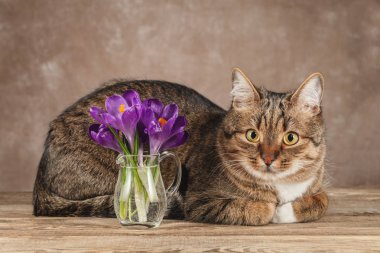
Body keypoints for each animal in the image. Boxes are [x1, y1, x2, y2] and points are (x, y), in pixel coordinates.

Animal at [33, 67, 330, 225]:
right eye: (252, 135)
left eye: (290, 138)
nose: (268, 159)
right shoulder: (199, 201)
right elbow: (259, 207)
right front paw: (272, 208)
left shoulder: (317, 188)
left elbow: (321, 201)